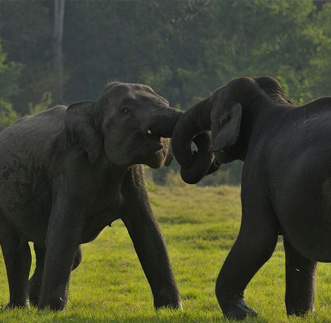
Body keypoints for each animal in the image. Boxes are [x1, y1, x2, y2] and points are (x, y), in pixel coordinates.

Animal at [0, 82, 183, 312]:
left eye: (165, 101)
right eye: (125, 111)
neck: (93, 107)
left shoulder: (132, 177)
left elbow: (149, 232)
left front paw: (172, 309)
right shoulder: (69, 169)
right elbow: (64, 233)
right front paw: (51, 310)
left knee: (52, 249)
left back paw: (33, 299)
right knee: (18, 250)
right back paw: (19, 307)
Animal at [171, 76, 331, 322]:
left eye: (212, 106)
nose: (205, 157)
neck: (270, 102)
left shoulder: (256, 170)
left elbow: (257, 238)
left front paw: (244, 314)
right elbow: (298, 248)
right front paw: (301, 315)